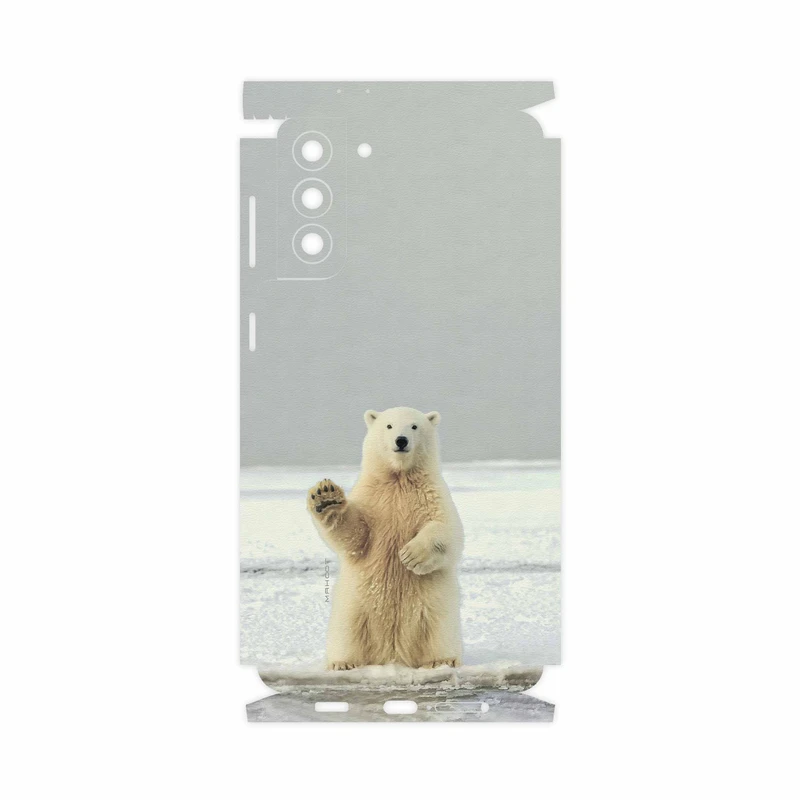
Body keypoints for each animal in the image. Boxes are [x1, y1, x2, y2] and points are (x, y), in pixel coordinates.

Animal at [307, 407, 464, 670]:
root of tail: (392, 654)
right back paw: (342, 663)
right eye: (389, 425)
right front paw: (326, 498)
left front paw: (411, 555)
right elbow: (355, 536)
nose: (401, 441)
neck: (399, 478)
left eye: (414, 426)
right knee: (347, 632)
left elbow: (448, 530)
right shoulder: (373, 498)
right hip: (354, 607)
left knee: (439, 630)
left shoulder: (432, 495)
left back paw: (442, 660)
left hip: (435, 608)